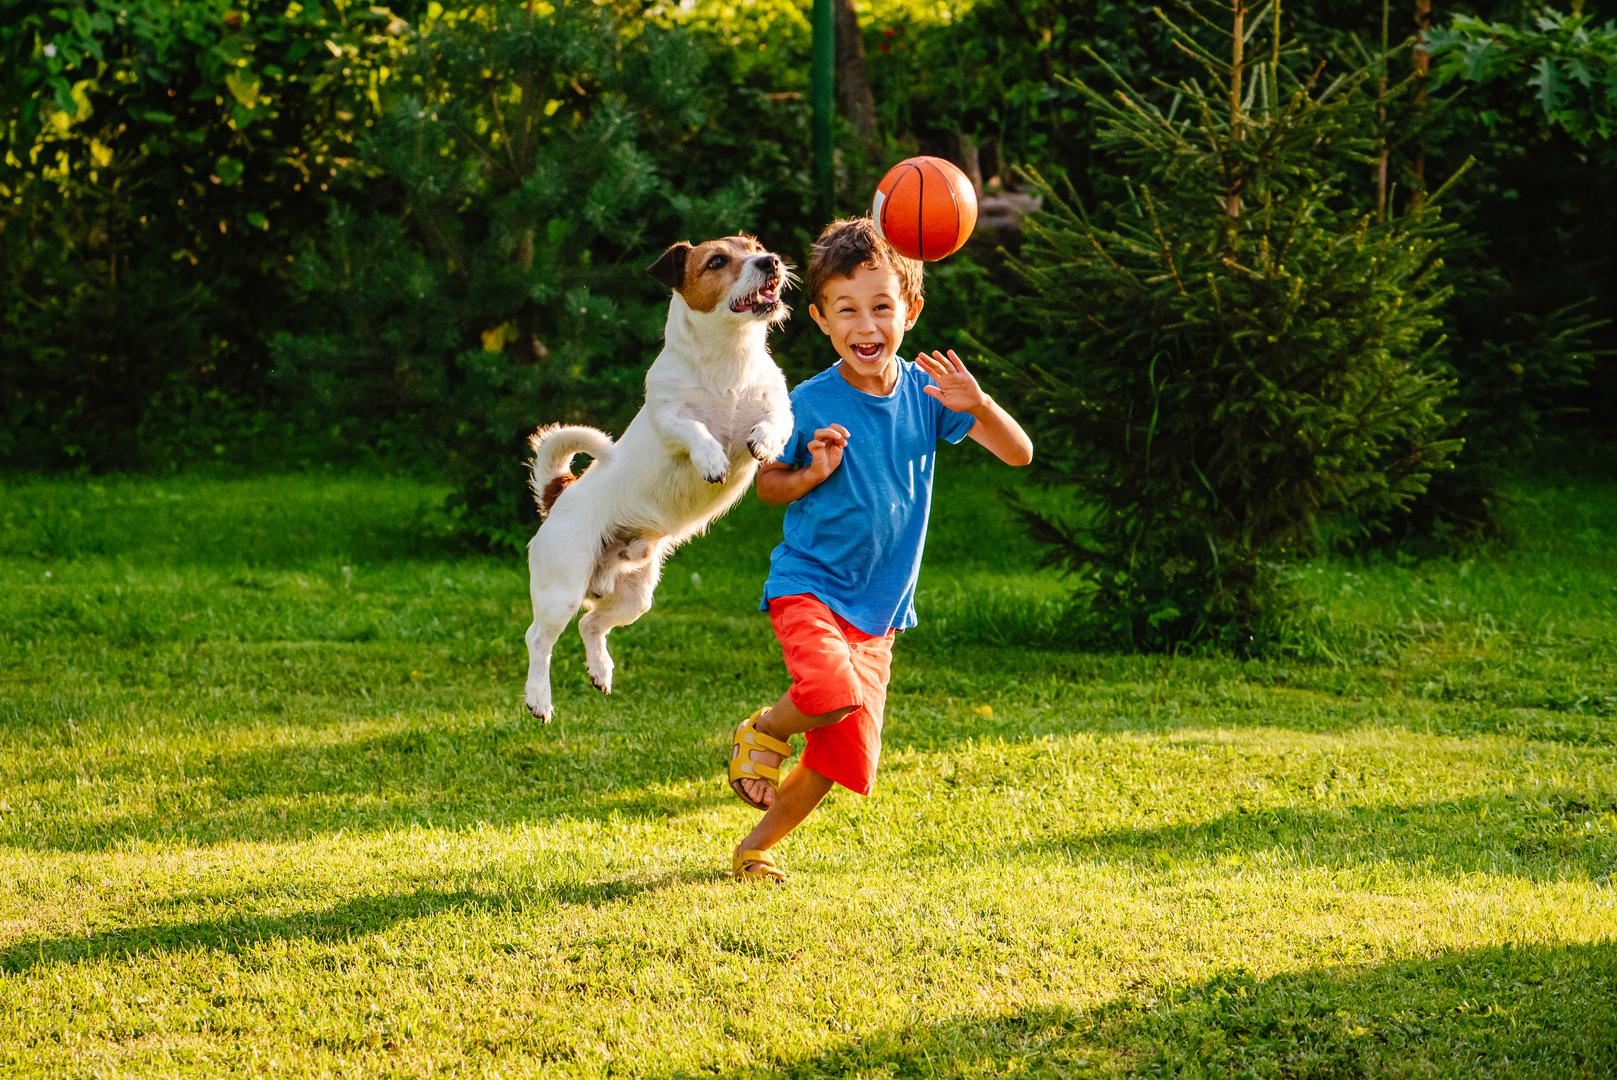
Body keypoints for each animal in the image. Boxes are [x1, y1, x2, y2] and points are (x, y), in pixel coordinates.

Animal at [520, 232, 792, 721]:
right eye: (717, 261)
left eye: (754, 246)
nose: (771, 261)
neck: (729, 360)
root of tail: (559, 495)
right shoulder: (670, 419)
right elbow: (695, 431)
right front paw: (711, 459)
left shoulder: (779, 408)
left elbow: (774, 423)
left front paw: (761, 442)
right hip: (561, 587)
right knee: (539, 640)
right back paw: (539, 698)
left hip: (634, 596)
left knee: (592, 624)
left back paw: (600, 671)